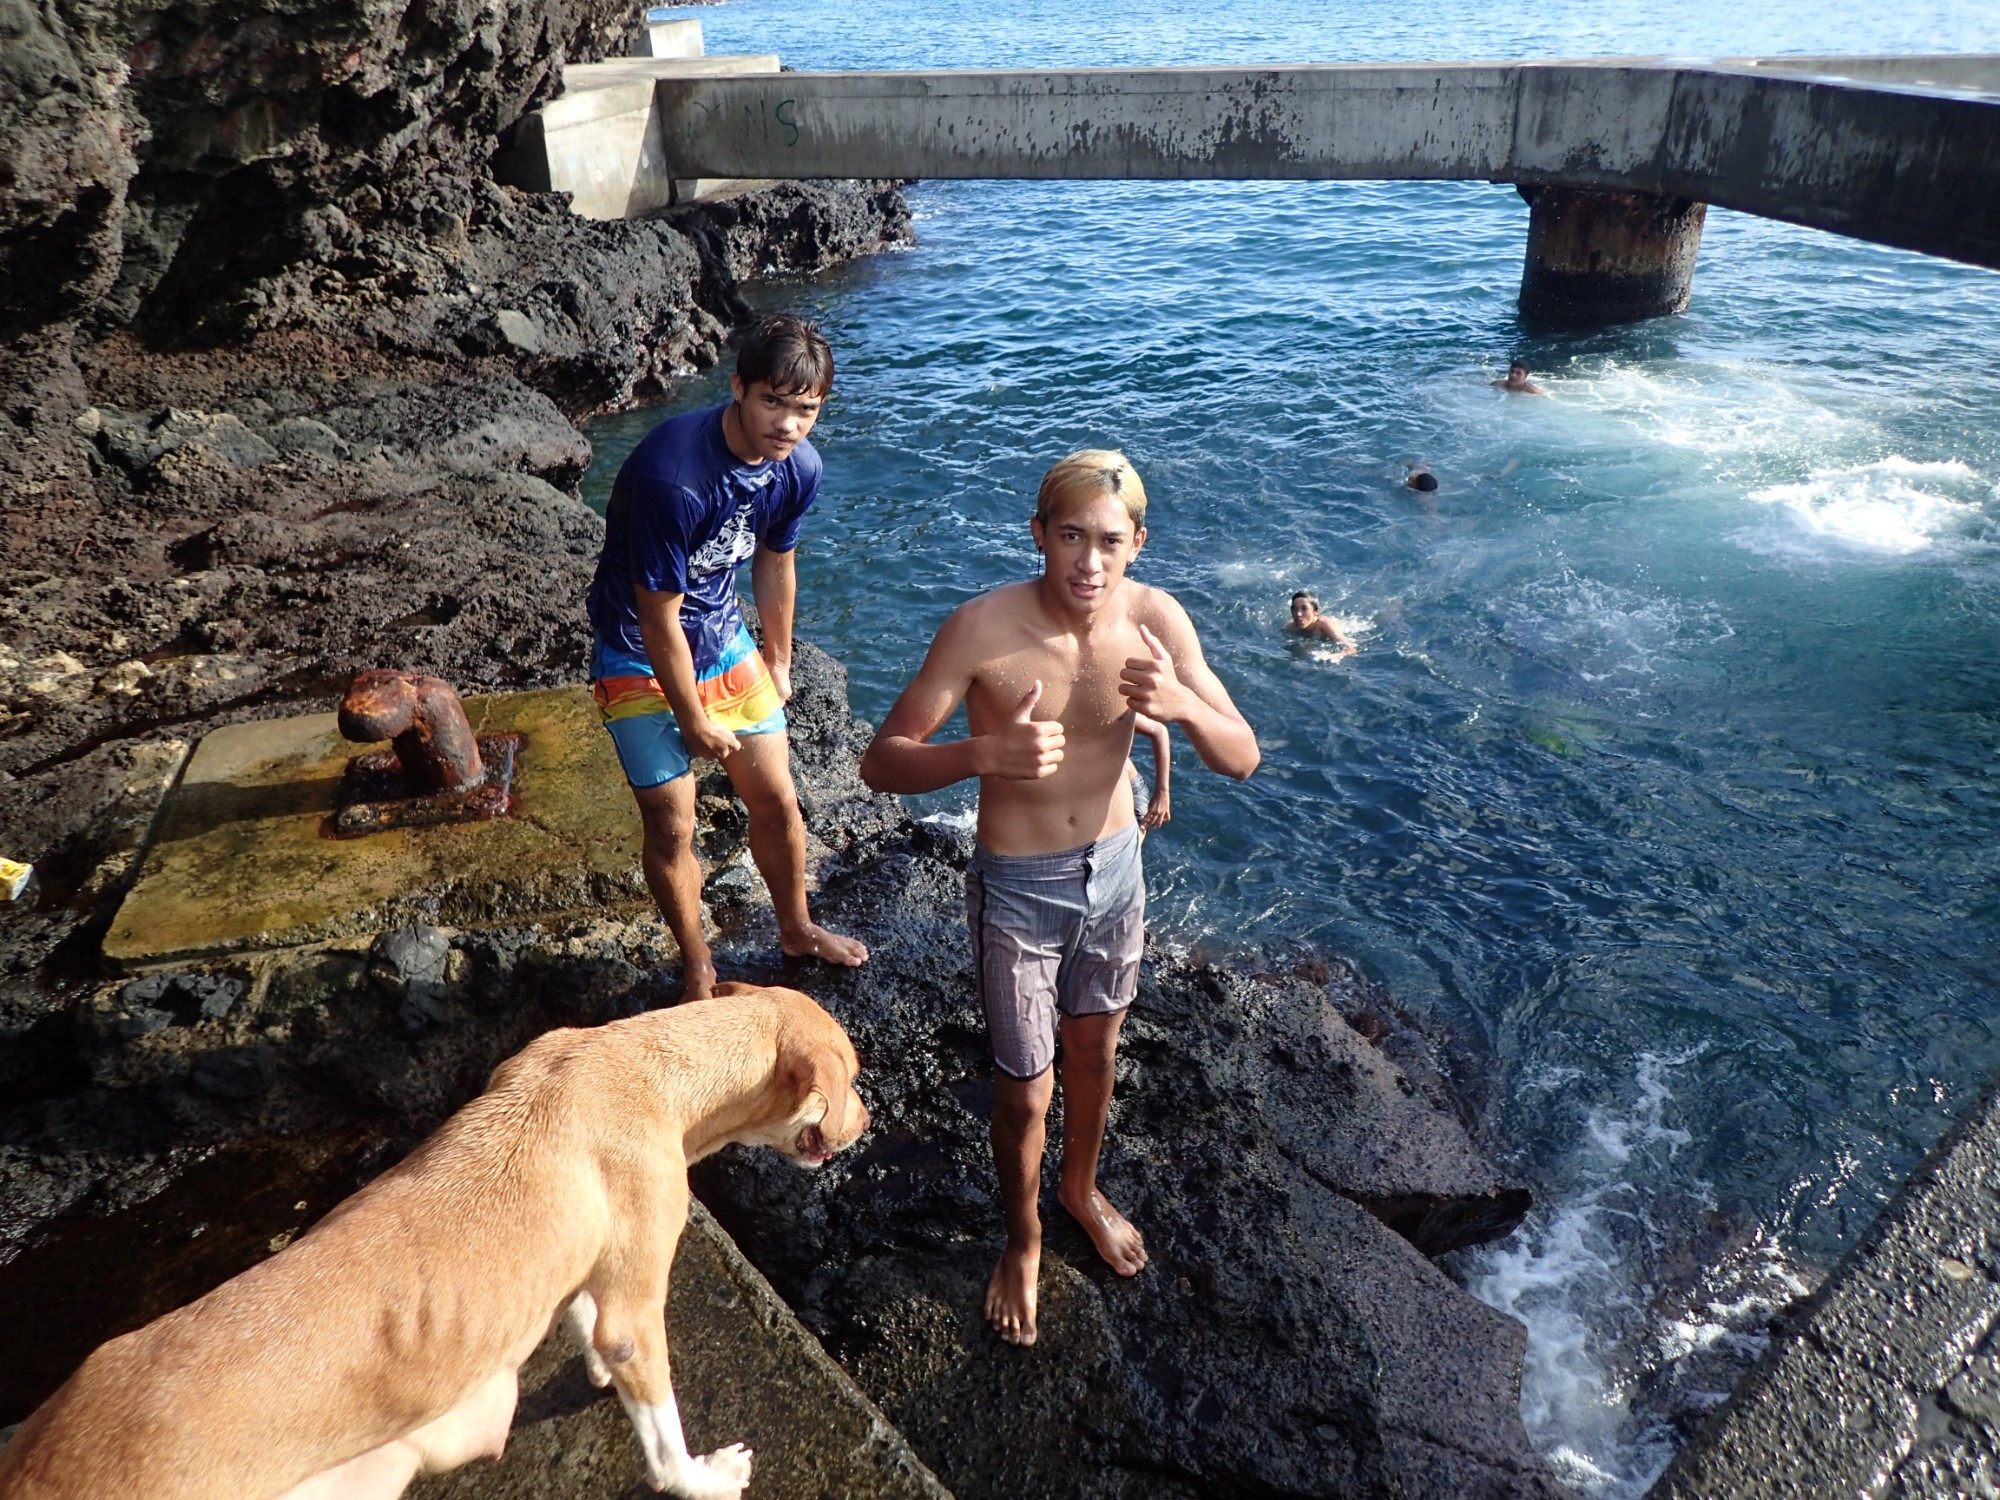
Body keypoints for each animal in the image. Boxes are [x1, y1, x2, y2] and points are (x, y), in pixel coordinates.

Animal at [1, 988, 876, 1500]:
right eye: (857, 1079)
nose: (868, 1124)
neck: (641, 1058)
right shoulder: (637, 1296)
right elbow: (660, 1433)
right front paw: (704, 1477)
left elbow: (584, 1316)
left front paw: (594, 1365)